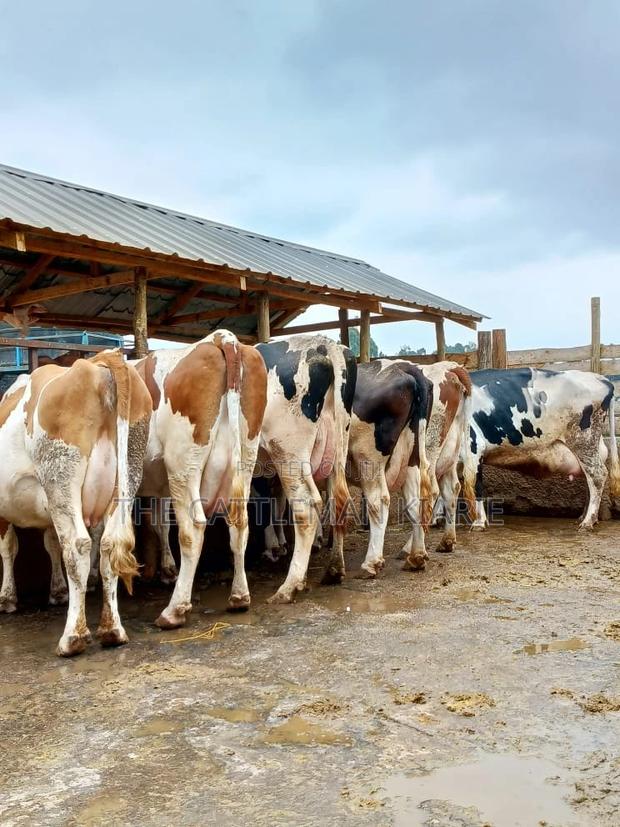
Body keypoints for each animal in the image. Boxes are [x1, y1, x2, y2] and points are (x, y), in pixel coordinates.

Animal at [0, 351, 152, 656]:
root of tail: (97, 363)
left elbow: (9, 548)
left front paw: (7, 598)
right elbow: (50, 544)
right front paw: (57, 591)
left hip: (60, 477)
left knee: (77, 546)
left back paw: (73, 637)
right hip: (128, 471)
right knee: (108, 545)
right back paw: (112, 630)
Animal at [134, 330, 267, 628]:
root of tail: (222, 338)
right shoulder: (158, 485)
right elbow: (159, 523)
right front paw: (166, 569)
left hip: (183, 464)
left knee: (192, 531)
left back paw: (174, 610)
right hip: (245, 456)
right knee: (240, 524)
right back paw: (239, 597)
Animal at [255, 335, 356, 603]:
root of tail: (323, 343)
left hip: (287, 452)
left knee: (307, 506)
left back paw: (289, 586)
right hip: (336, 448)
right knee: (338, 500)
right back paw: (334, 569)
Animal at [398, 361, 475, 566]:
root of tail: (450, 367)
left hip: (427, 450)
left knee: (428, 492)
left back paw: (412, 550)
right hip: (450, 450)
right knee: (452, 488)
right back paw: (446, 541)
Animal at [463, 368, 620, 529]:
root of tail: (601, 378)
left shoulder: (474, 447)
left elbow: (475, 486)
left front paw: (479, 522)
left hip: (583, 440)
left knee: (597, 475)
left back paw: (588, 521)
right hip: (589, 446)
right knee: (590, 476)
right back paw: (584, 517)